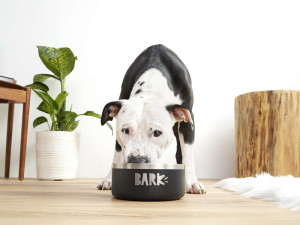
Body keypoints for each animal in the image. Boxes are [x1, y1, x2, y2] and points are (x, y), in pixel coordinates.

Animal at [98, 44, 206, 194]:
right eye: (125, 131)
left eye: (157, 133)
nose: (137, 161)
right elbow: (118, 152)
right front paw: (110, 179)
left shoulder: (188, 122)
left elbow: (187, 154)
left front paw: (192, 182)